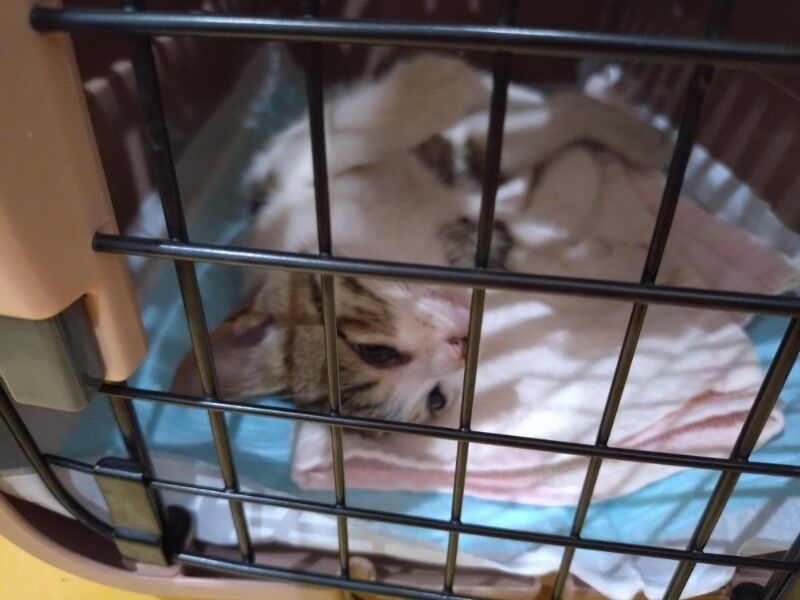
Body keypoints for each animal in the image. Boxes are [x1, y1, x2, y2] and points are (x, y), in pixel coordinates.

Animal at [172, 54, 671, 424]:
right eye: (435, 400)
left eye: (377, 352)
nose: (460, 347)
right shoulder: (475, 238)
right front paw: (624, 265)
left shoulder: (282, 174)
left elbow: (332, 145)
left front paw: (437, 81)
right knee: (549, 118)